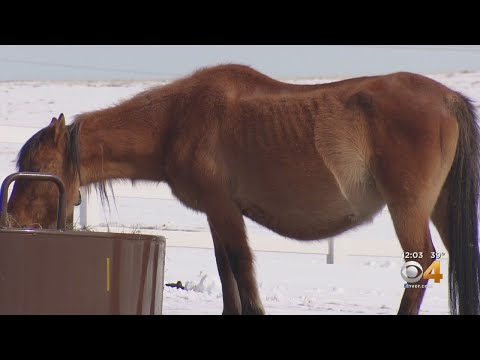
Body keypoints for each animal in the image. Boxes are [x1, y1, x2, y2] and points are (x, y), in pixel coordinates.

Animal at [6, 64, 480, 316]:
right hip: (439, 207)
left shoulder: (224, 210)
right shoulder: (216, 215)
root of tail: (446, 98)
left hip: (408, 209)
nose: (12, 220)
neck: (178, 120)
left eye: (37, 168)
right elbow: (226, 274)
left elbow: (242, 272)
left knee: (420, 265)